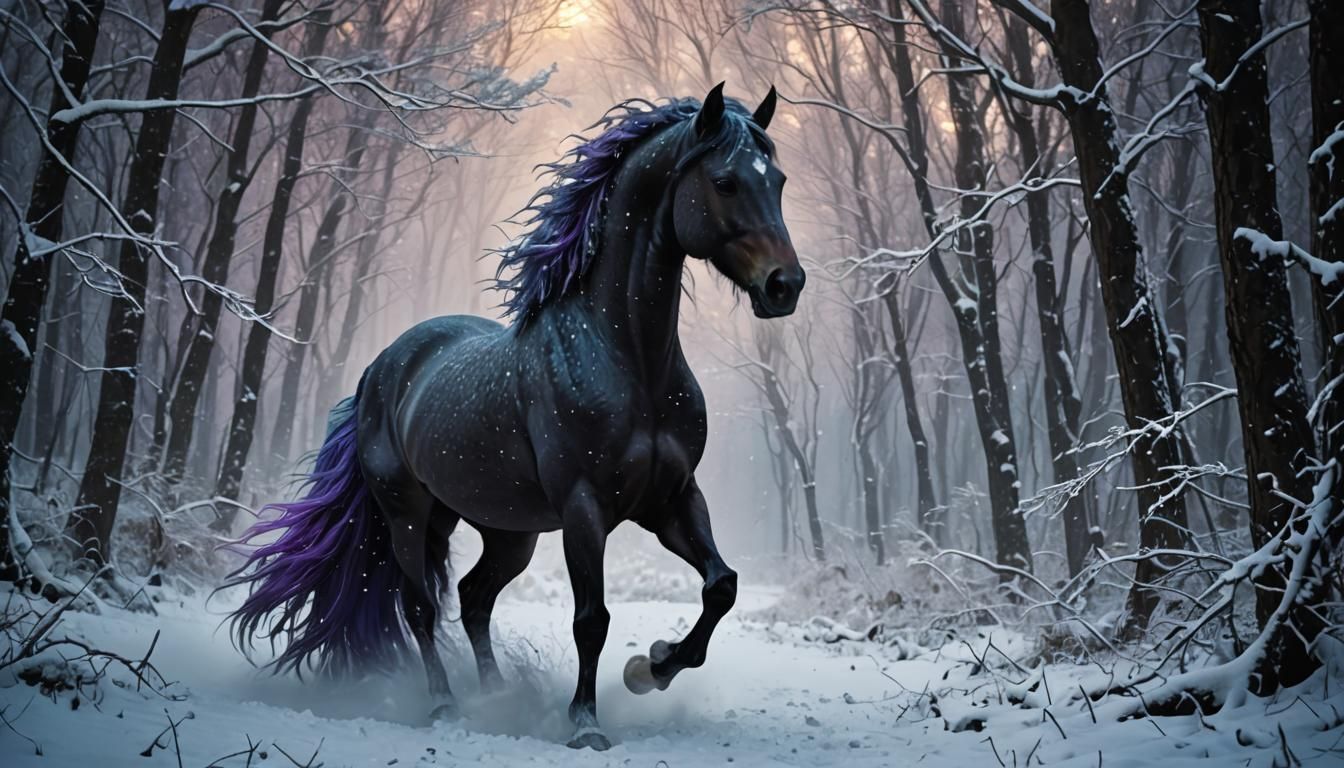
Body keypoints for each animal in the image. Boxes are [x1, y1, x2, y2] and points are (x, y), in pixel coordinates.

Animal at [224, 83, 804, 751]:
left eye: (779, 180)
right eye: (726, 182)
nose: (786, 285)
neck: (627, 359)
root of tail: (380, 370)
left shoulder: (672, 499)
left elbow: (722, 586)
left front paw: (651, 667)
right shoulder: (585, 508)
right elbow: (592, 618)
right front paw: (585, 724)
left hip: (508, 530)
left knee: (474, 597)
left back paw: (497, 696)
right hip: (408, 512)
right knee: (421, 606)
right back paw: (445, 705)